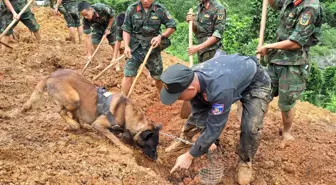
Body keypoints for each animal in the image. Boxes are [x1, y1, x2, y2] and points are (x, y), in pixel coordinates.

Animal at [20, 69, 161, 159]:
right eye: (153, 145)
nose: (155, 158)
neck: (127, 113)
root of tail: (50, 76)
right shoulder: (99, 124)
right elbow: (113, 137)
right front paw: (125, 148)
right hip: (74, 99)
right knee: (60, 111)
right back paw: (74, 124)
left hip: (76, 104)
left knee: (73, 115)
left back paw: (80, 126)